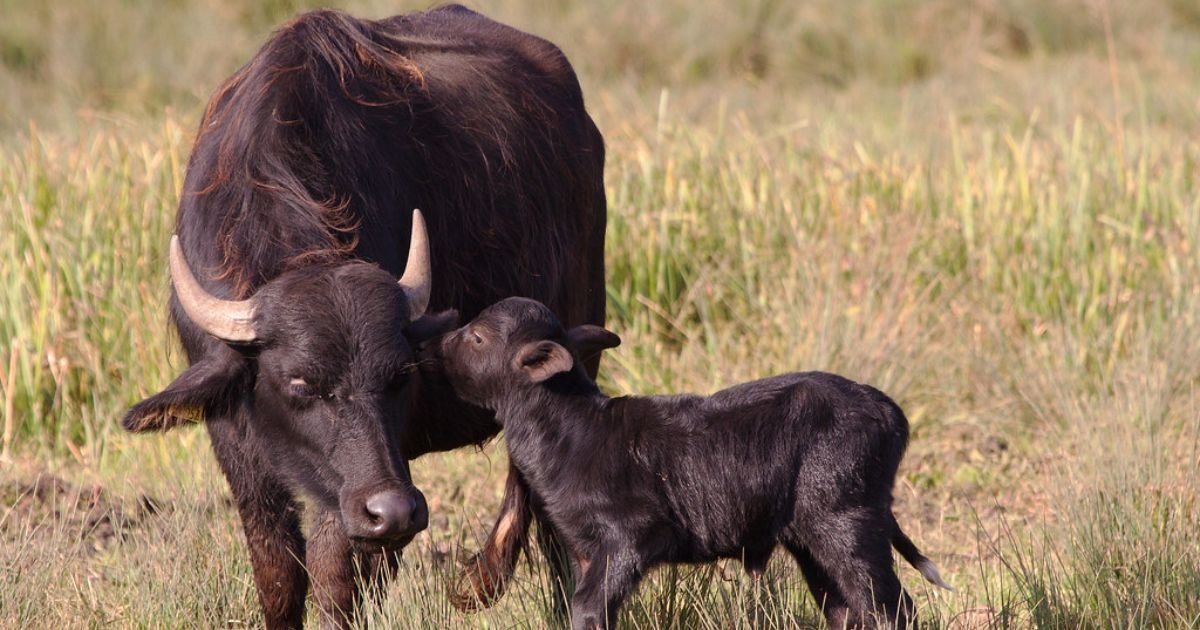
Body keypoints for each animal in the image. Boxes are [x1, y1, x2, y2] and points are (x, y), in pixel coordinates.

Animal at [123, 6, 605, 628]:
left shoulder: (359, 480)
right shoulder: (236, 442)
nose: (394, 511)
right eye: (299, 384)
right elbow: (277, 571)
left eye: (398, 376)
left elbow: (333, 572)